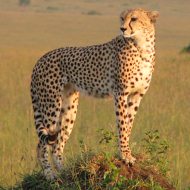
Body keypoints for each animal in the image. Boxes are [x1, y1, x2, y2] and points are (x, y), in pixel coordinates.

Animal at [30, 7, 159, 180]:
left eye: (134, 19)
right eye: (122, 18)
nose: (122, 29)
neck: (142, 45)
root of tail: (40, 60)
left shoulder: (136, 95)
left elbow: (129, 124)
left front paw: (126, 153)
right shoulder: (120, 93)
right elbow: (122, 125)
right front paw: (125, 155)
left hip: (69, 108)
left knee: (57, 144)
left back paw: (65, 171)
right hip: (51, 105)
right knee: (41, 144)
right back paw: (50, 175)